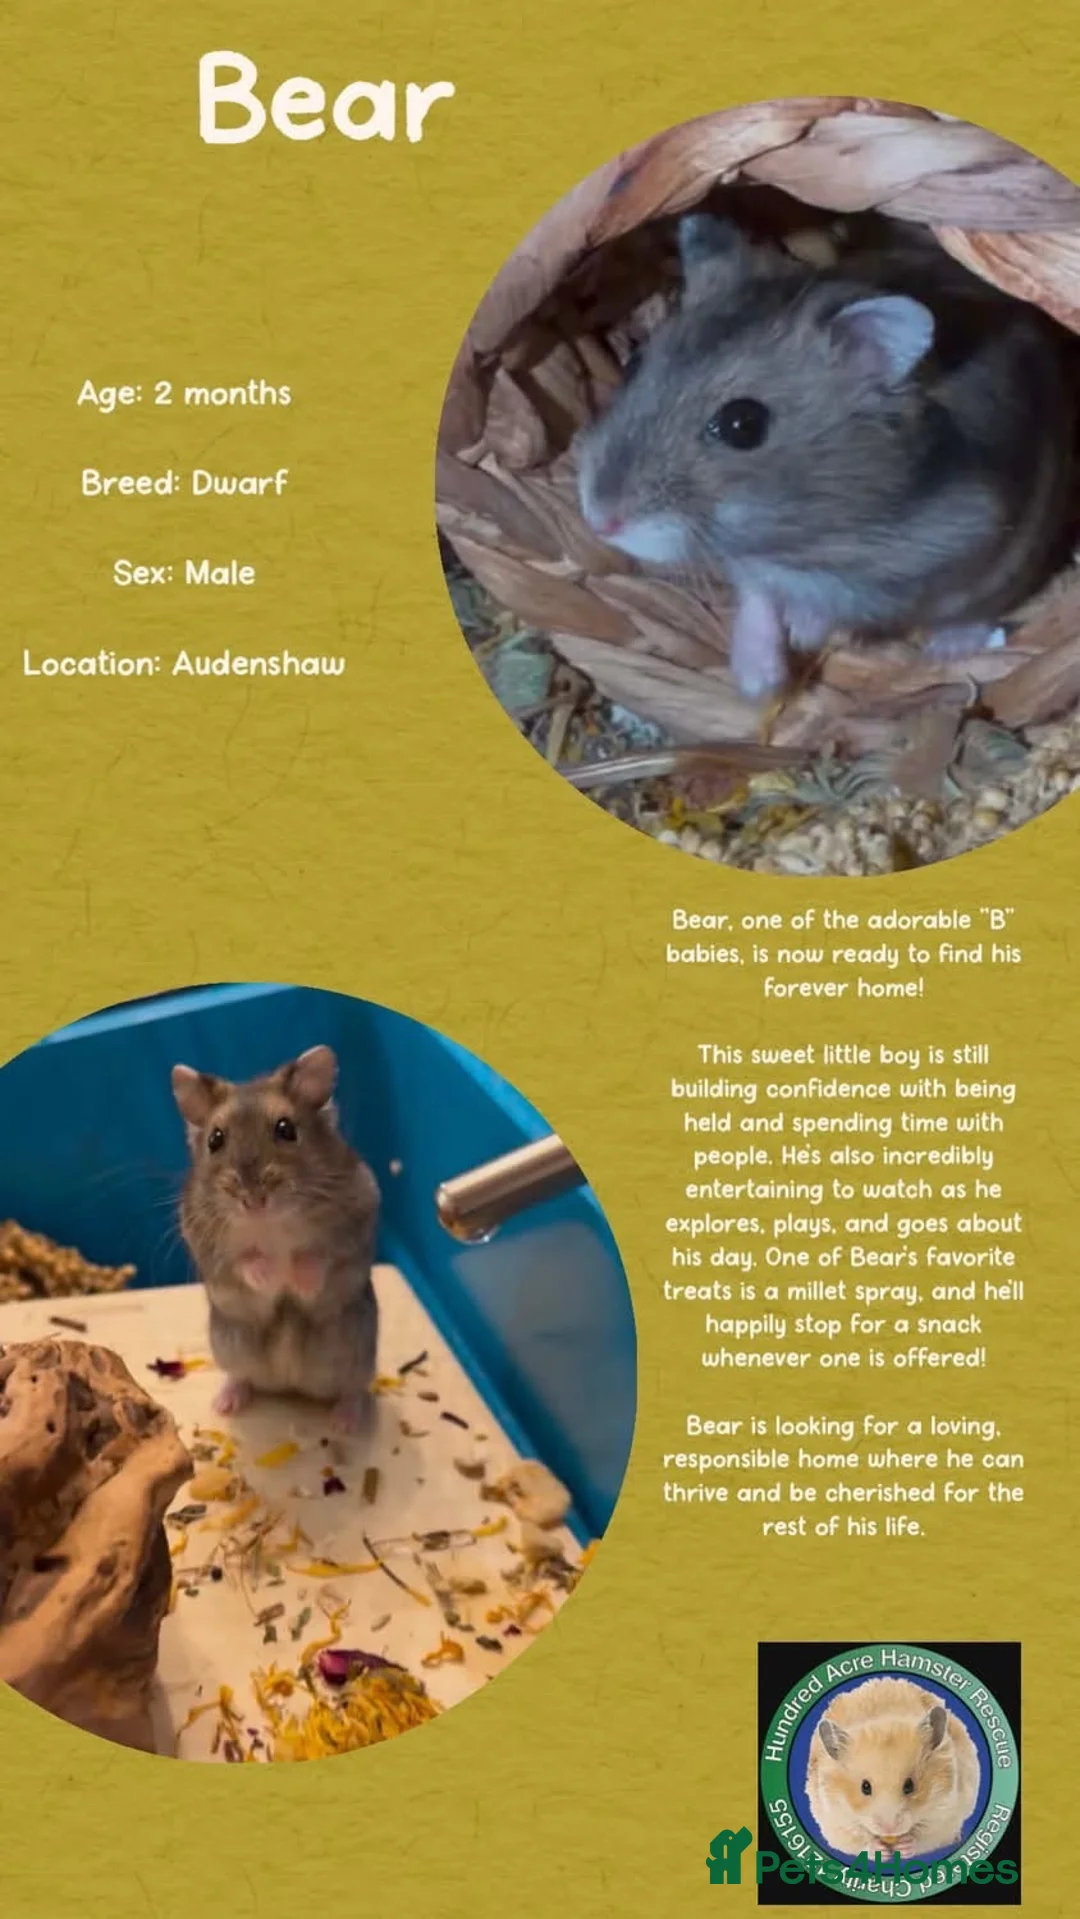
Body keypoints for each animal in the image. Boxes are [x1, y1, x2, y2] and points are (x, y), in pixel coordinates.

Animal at [171, 1044, 380, 1431]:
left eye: (286, 1129)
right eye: (215, 1139)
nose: (254, 1200)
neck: (270, 1221)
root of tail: (289, 1385)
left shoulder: (358, 1216)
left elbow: (323, 1255)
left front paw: (300, 1279)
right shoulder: (204, 1241)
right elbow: (242, 1262)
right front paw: (269, 1274)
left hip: (356, 1349)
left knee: (354, 1388)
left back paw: (344, 1422)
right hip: (229, 1343)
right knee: (241, 1376)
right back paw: (224, 1404)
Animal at [576, 210, 1076, 699]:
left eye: (743, 424)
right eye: (633, 362)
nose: (599, 522)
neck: (807, 537)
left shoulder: (917, 565)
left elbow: (829, 605)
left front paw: (801, 635)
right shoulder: (757, 564)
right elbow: (758, 594)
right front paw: (760, 684)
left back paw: (949, 648)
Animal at [806, 1677, 981, 1860]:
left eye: (910, 1786)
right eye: (865, 1787)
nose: (889, 1829)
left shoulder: (945, 1813)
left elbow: (926, 1837)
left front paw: (904, 1846)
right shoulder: (835, 1820)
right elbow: (857, 1840)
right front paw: (880, 1852)